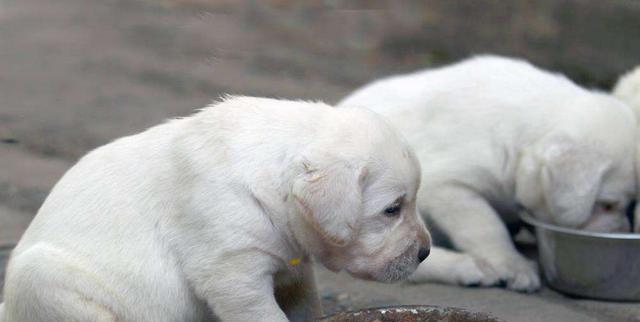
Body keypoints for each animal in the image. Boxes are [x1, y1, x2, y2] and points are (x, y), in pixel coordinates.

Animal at [1, 97, 430, 322]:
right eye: (392, 209)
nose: (425, 252)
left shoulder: (289, 256)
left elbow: (302, 295)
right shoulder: (230, 260)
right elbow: (253, 304)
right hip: (49, 277)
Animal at [338, 54, 636, 292]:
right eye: (607, 205)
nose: (624, 230)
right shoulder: (447, 185)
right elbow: (486, 225)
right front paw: (512, 264)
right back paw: (467, 267)